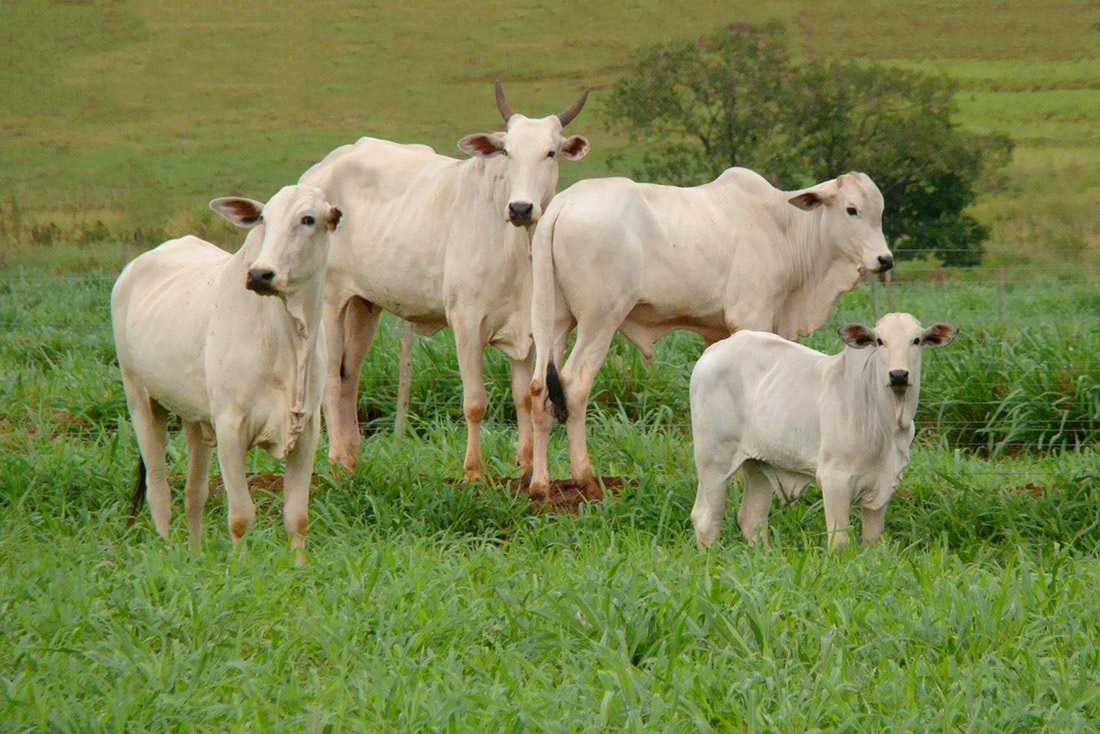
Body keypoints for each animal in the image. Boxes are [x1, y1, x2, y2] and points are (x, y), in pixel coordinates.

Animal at [112, 183, 338, 563]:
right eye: (263, 218)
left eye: (308, 219)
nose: (260, 274)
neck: (287, 339)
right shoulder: (232, 426)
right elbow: (241, 516)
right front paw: (241, 567)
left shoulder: (307, 430)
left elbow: (297, 516)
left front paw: (300, 566)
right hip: (140, 398)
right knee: (158, 490)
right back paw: (168, 553)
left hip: (196, 418)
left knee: (194, 492)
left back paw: (195, 554)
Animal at [528, 168, 897, 499]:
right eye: (851, 209)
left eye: (879, 211)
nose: (886, 259)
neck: (783, 227)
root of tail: (562, 203)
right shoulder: (752, 318)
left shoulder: (718, 334)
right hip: (600, 319)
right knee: (574, 386)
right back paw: (586, 480)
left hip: (554, 321)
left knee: (539, 389)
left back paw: (540, 485)